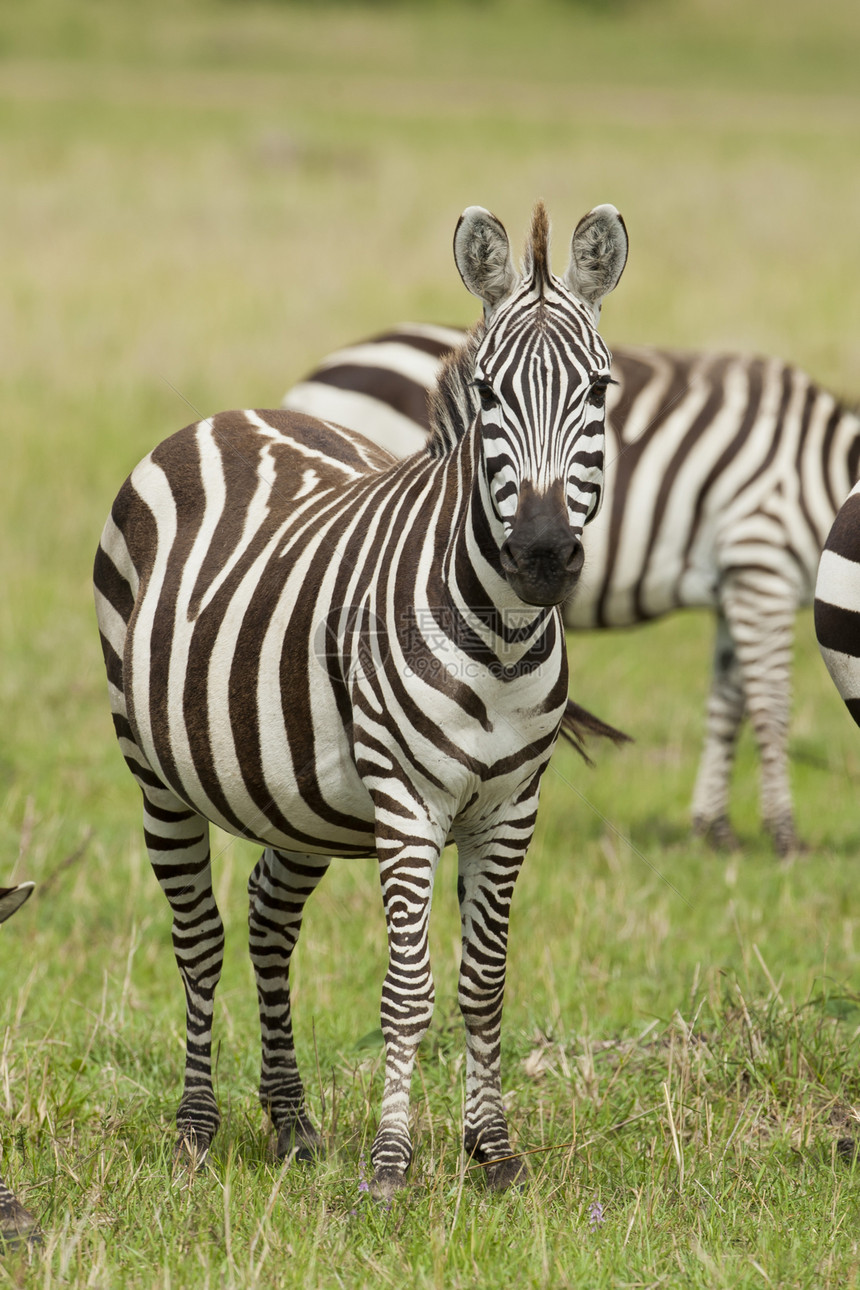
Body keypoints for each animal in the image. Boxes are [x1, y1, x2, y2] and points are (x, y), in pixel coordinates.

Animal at [96, 201, 631, 1197]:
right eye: (489, 394)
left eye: (600, 392)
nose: (542, 555)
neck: (501, 642)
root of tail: (232, 414)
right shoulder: (408, 800)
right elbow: (408, 988)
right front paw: (390, 1165)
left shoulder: (513, 807)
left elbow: (483, 982)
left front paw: (494, 1151)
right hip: (154, 772)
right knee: (199, 936)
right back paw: (195, 1129)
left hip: (297, 794)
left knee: (269, 922)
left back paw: (292, 1122)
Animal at [282, 325, 860, 856]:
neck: (818, 468)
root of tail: (315, 381)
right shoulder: (760, 559)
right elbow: (769, 705)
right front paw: (784, 836)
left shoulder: (734, 585)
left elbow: (727, 705)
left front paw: (713, 829)